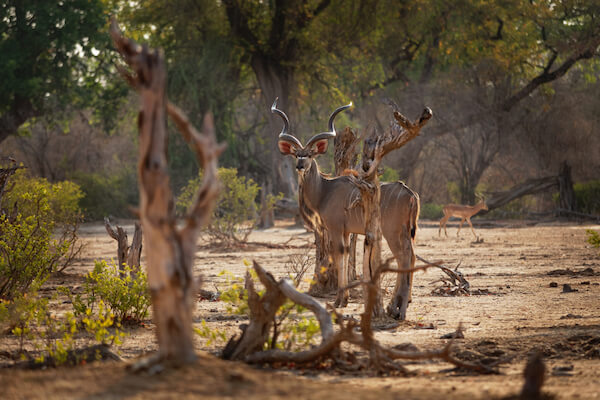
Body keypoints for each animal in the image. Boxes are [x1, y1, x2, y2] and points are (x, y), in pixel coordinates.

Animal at [274, 101, 420, 322]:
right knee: (411, 255)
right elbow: (345, 254)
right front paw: (344, 299)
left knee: (404, 256)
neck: (325, 190)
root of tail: (411, 194)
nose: (300, 166)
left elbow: (339, 255)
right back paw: (403, 302)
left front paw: (339, 300)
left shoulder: (335, 228)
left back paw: (398, 308)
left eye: (310, 155)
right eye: (296, 154)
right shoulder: (346, 231)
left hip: (392, 232)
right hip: (406, 231)